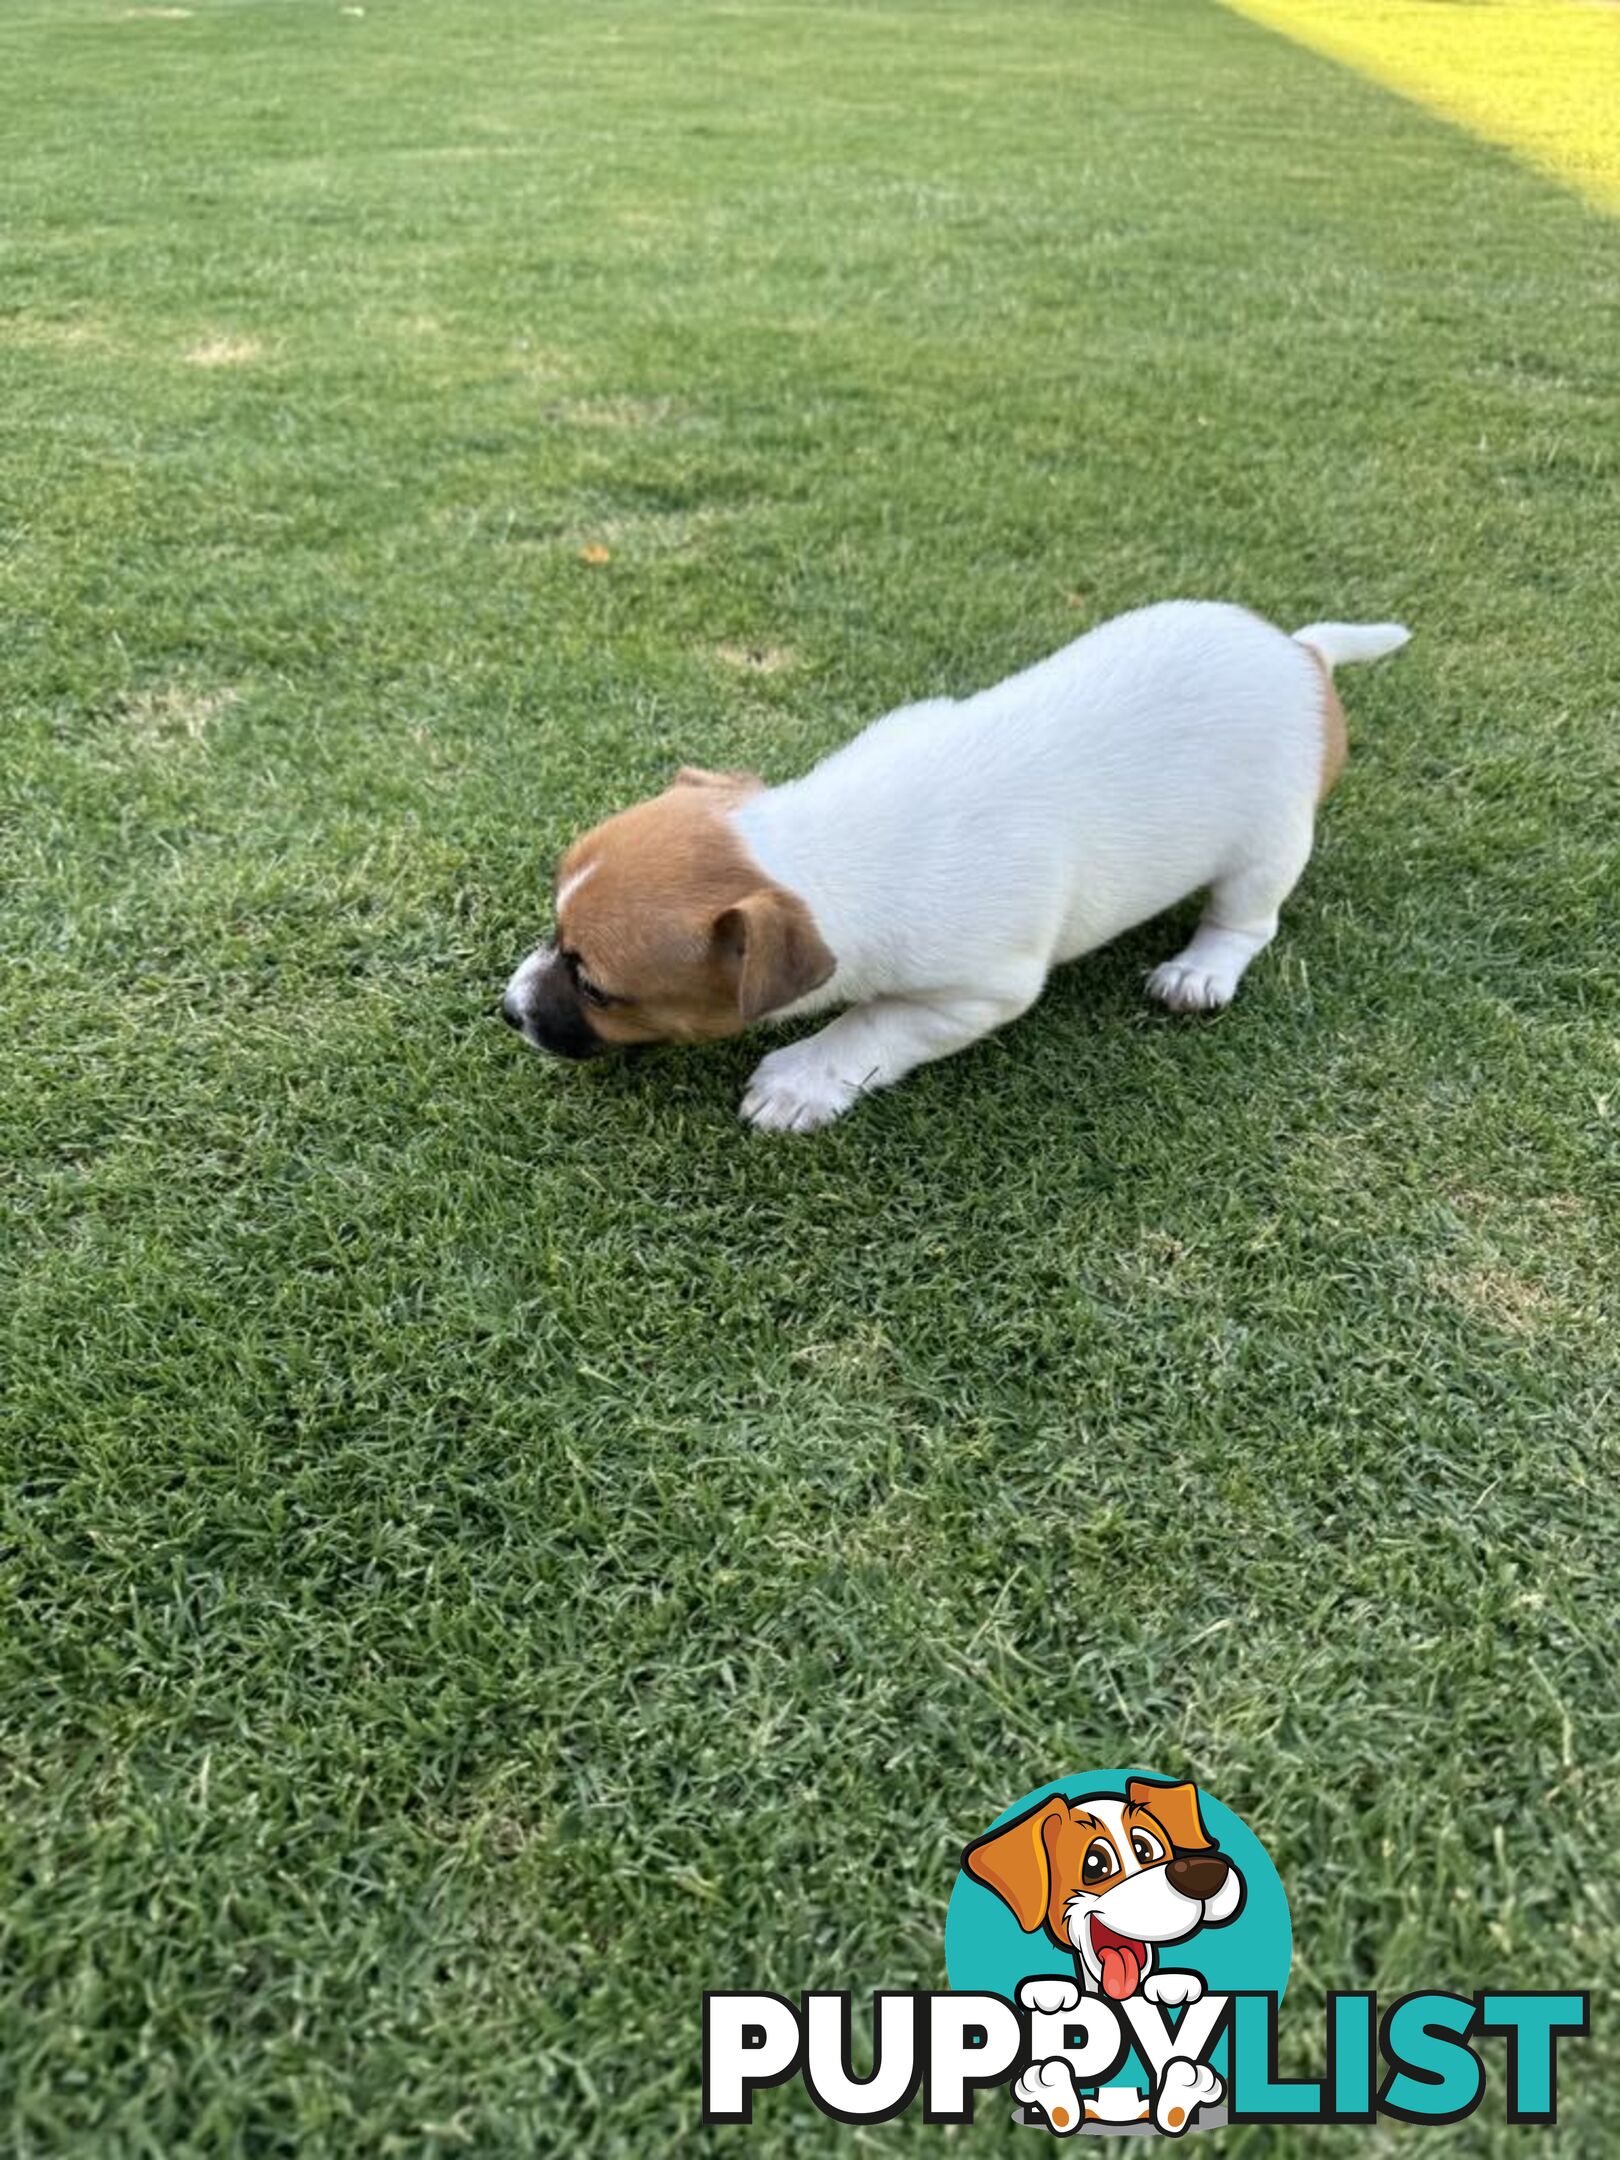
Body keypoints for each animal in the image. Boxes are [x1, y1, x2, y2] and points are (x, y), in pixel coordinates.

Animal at [507, 596, 1408, 1123]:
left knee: (1247, 917)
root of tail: (1303, 657)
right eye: (555, 932)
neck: (827, 845)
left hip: (1270, 844)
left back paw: (1200, 969)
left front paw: (801, 1080)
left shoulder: (975, 993)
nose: (509, 1009)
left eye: (597, 988)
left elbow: (871, 1022)